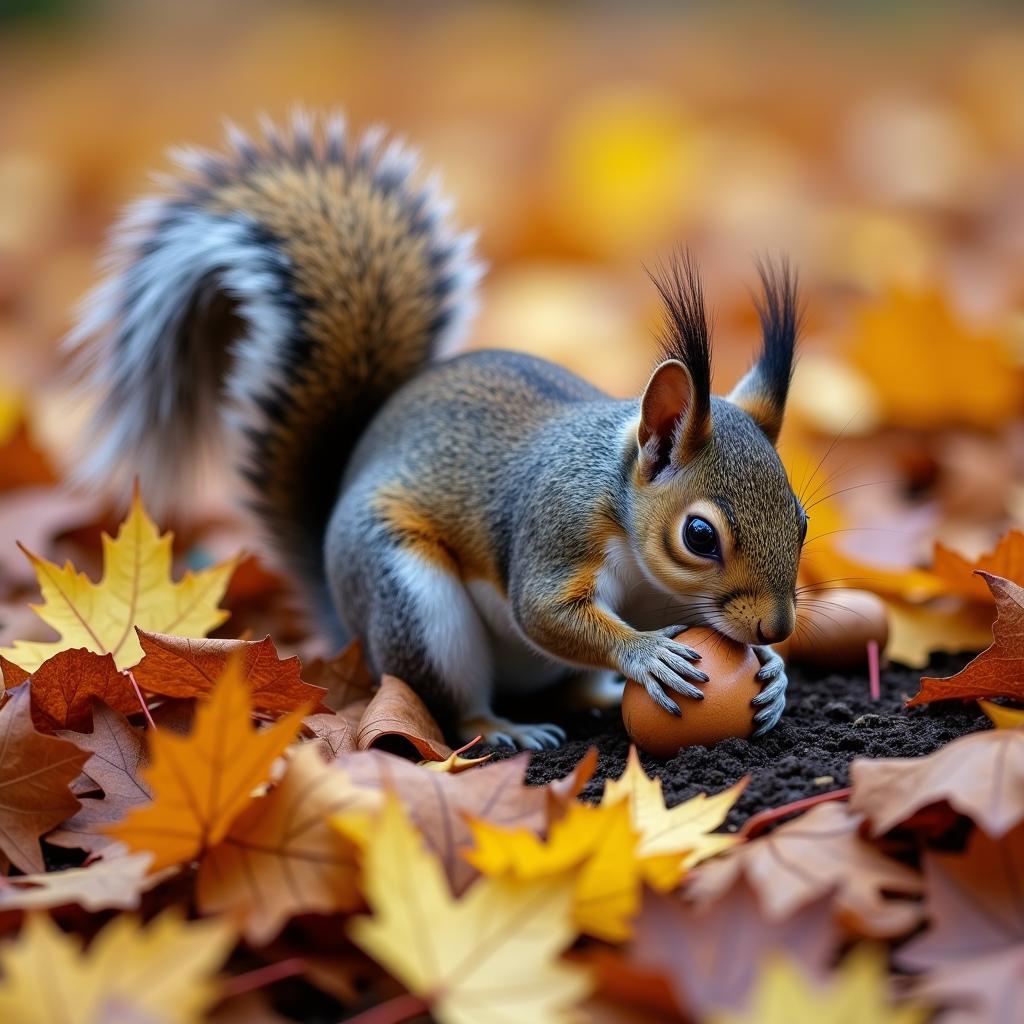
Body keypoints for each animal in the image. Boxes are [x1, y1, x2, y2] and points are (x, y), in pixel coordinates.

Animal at [72, 114, 806, 753]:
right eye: (700, 536)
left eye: (801, 521)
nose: (777, 627)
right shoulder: (556, 526)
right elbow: (544, 612)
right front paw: (647, 652)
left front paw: (770, 674)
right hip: (414, 600)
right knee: (452, 700)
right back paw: (505, 728)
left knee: (564, 688)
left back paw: (594, 695)